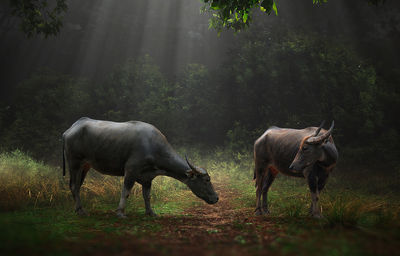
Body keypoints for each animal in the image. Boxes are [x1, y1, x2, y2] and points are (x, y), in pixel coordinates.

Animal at [62, 117, 219, 217]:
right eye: (206, 180)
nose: (216, 198)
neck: (152, 146)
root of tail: (69, 130)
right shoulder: (130, 171)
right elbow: (125, 192)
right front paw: (120, 212)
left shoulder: (147, 178)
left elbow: (147, 195)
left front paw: (150, 212)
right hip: (74, 163)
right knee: (74, 186)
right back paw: (81, 211)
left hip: (85, 166)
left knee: (77, 186)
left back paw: (78, 209)